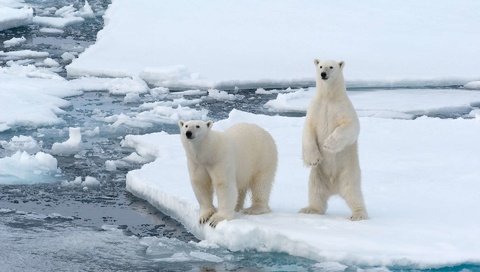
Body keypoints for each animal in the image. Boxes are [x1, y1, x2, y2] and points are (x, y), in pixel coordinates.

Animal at [302, 59, 370, 221]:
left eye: (331, 67)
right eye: (321, 66)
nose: (323, 74)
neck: (329, 98)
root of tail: (333, 187)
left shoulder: (343, 108)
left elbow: (351, 126)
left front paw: (328, 144)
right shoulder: (315, 109)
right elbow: (308, 130)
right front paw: (313, 159)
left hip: (348, 174)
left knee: (353, 193)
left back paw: (358, 214)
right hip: (318, 176)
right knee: (315, 192)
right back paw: (310, 209)